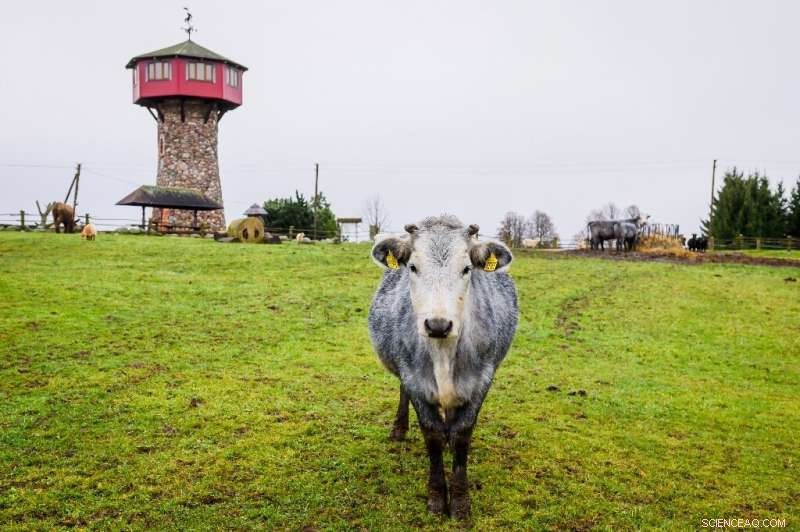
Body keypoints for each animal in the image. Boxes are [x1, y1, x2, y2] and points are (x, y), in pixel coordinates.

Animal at [368, 215, 518, 520]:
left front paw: (460, 503)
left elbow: (461, 434)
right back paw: (399, 429)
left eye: (466, 268)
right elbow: (432, 434)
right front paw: (437, 499)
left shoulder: (482, 379)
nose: (438, 324)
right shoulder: (414, 377)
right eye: (413, 267)